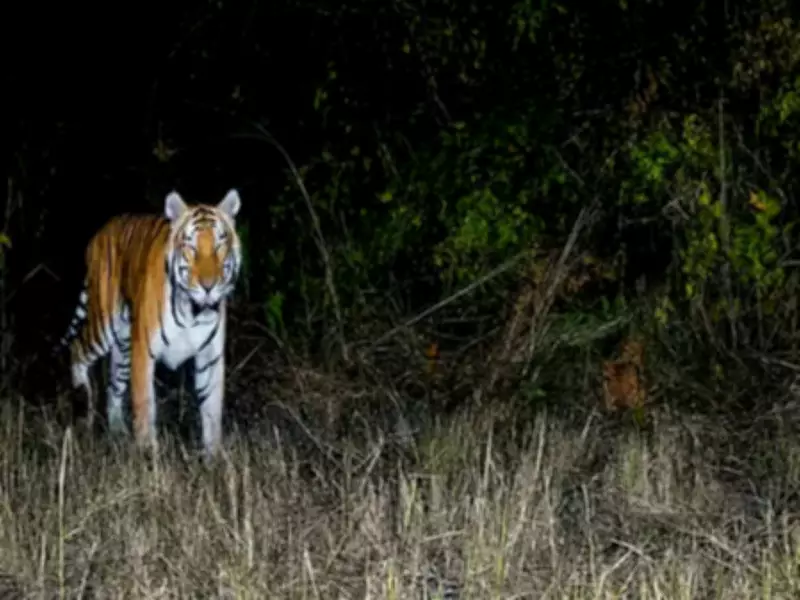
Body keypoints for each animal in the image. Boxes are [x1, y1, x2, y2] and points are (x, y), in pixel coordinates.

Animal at [56, 189, 243, 459]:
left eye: (220, 244)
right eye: (191, 246)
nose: (209, 286)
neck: (193, 311)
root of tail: (101, 231)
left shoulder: (210, 357)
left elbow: (211, 411)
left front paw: (213, 458)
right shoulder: (144, 351)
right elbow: (145, 406)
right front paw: (148, 454)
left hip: (123, 345)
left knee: (113, 387)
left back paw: (117, 431)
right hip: (104, 322)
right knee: (78, 347)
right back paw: (83, 403)